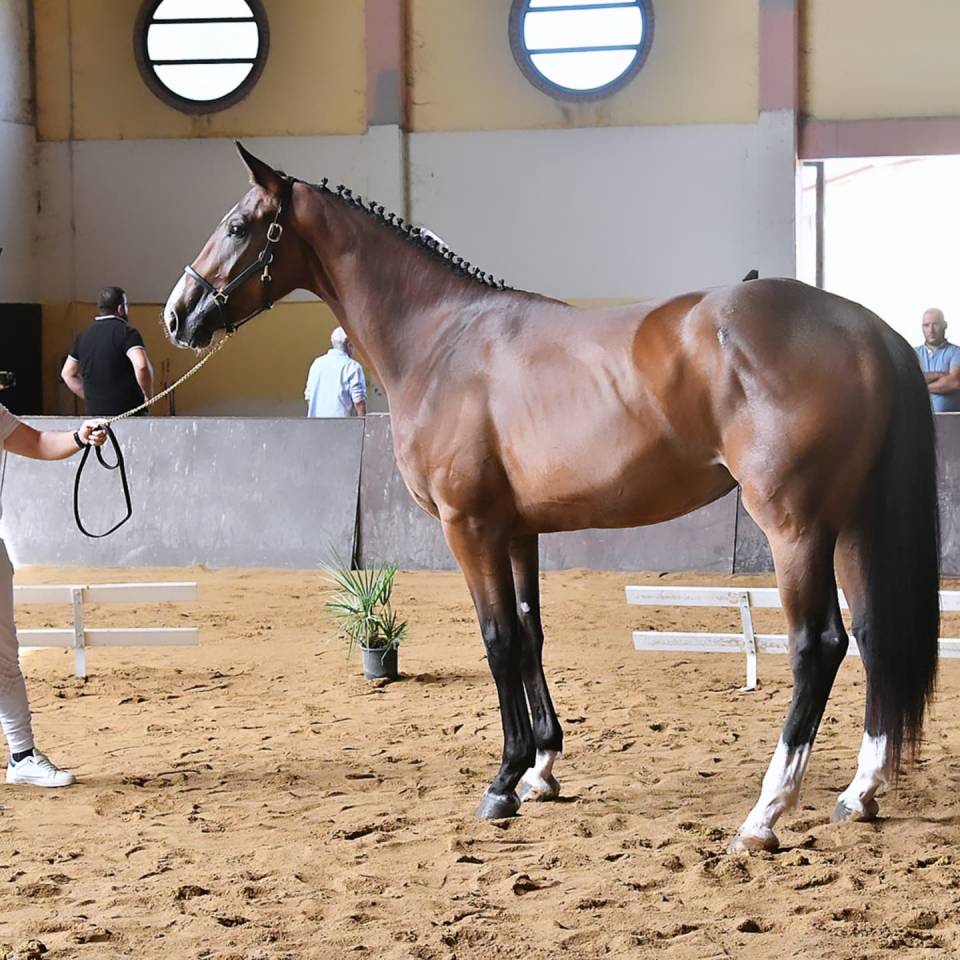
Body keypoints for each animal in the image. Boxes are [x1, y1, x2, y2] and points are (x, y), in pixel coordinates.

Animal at [162, 143, 940, 853]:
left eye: (238, 225)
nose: (177, 315)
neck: (442, 340)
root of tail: (869, 329)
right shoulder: (515, 530)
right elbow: (530, 632)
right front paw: (542, 768)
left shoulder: (468, 526)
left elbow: (498, 639)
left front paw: (504, 782)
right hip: (852, 525)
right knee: (872, 634)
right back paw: (860, 792)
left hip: (796, 525)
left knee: (819, 645)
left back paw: (764, 815)